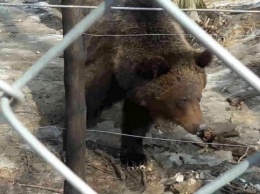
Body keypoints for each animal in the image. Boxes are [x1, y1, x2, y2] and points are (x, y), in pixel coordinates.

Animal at [84, 0, 213, 166]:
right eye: (182, 99)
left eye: (199, 97)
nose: (201, 127)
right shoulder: (105, 63)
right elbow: (91, 96)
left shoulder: (143, 94)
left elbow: (136, 121)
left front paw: (134, 156)